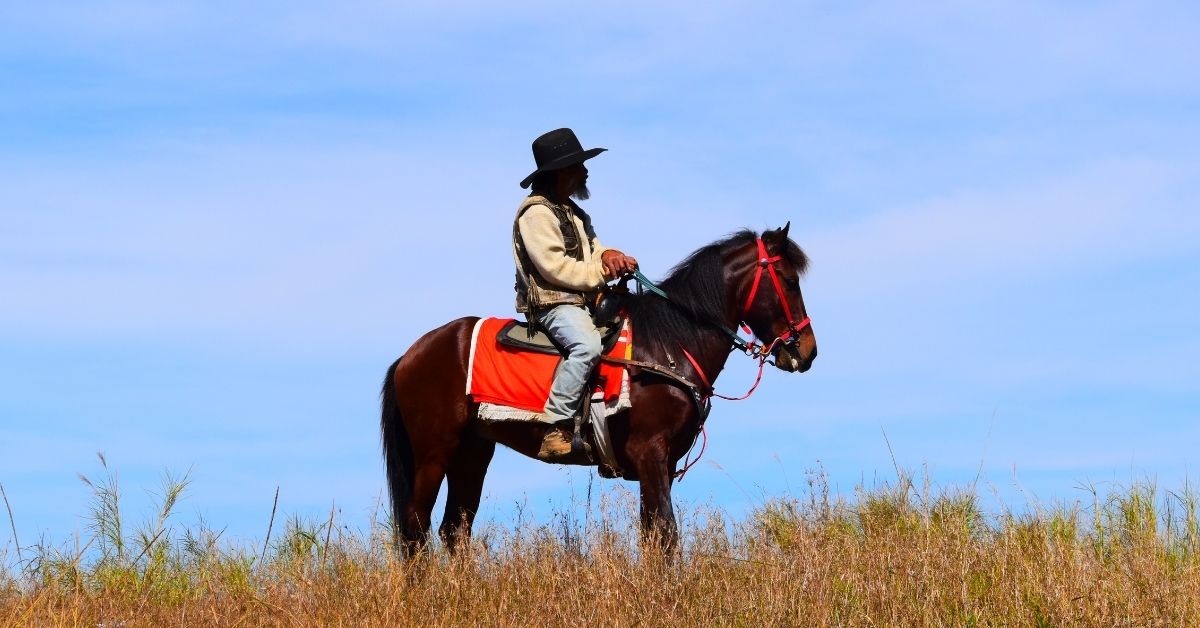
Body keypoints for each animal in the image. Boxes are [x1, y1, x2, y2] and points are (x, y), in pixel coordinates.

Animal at [381, 225, 816, 554]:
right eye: (790, 281)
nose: (807, 351)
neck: (670, 344)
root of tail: (410, 355)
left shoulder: (660, 462)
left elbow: (652, 534)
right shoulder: (650, 451)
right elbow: (666, 533)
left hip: (472, 453)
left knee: (454, 530)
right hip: (434, 452)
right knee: (416, 527)